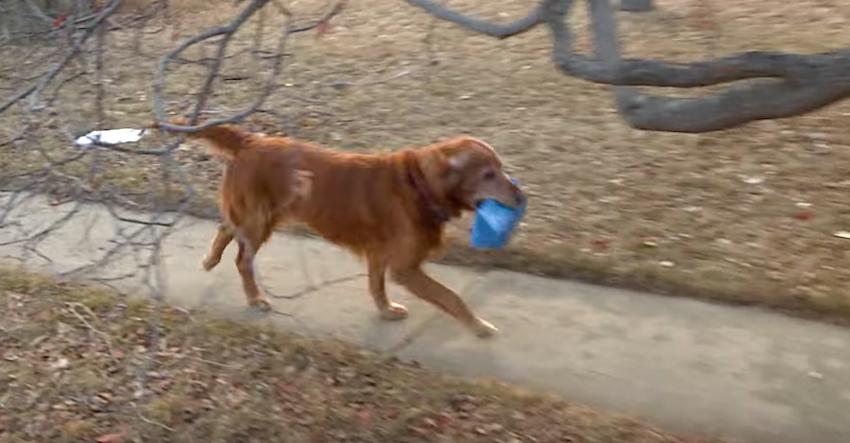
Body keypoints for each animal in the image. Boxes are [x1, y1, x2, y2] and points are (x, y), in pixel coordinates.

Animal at [166, 119, 524, 338]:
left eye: (501, 168)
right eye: (488, 174)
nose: (522, 195)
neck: (420, 185)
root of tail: (251, 140)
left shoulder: (380, 255)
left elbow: (377, 286)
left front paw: (386, 310)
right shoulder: (404, 267)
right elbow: (451, 297)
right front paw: (479, 326)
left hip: (258, 216)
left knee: (225, 226)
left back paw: (210, 260)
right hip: (259, 221)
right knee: (242, 259)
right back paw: (255, 298)